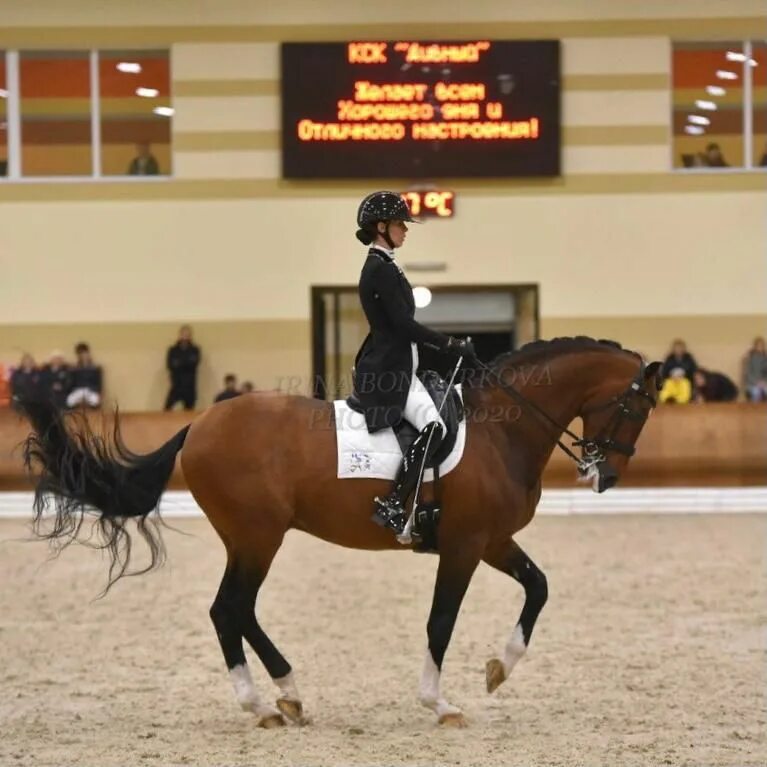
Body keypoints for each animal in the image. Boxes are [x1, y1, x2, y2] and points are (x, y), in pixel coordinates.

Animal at [21, 340, 664, 728]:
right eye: (636, 408)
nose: (605, 476)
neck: (498, 430)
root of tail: (198, 425)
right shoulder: (462, 546)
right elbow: (441, 621)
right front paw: (439, 703)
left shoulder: (490, 540)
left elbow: (539, 587)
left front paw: (499, 670)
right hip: (257, 536)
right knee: (228, 609)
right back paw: (263, 704)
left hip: (253, 539)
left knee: (238, 610)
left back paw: (288, 694)